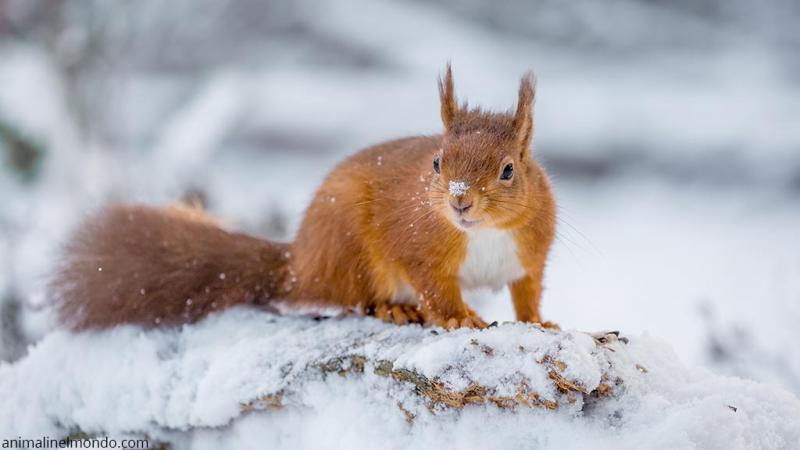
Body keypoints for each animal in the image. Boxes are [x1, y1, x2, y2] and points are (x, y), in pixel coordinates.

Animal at [51, 64, 557, 330]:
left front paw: (539, 322)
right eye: (436, 163)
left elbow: (527, 293)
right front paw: (461, 318)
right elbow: (436, 288)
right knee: (356, 298)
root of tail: (300, 262)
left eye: (508, 170)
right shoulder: (419, 249)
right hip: (352, 252)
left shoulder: (528, 257)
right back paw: (394, 306)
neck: (483, 233)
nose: (459, 201)